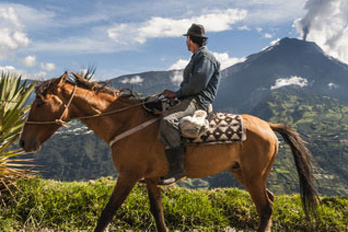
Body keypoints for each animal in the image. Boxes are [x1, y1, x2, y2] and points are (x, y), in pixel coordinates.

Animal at [19, 71, 318, 232]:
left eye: (40, 104)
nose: (23, 143)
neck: (126, 121)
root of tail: (268, 125)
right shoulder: (151, 179)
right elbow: (157, 212)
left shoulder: (129, 175)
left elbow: (108, 212)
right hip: (243, 173)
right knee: (268, 202)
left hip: (253, 176)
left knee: (265, 207)